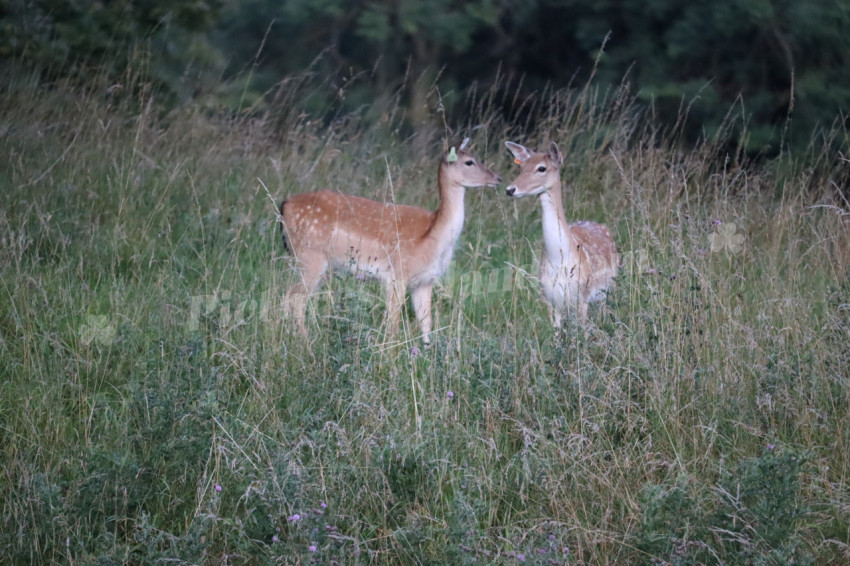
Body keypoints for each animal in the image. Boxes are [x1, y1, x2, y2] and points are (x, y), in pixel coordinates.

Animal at [282, 141, 500, 346]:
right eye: (469, 161)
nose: (498, 178)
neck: (434, 237)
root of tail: (284, 205)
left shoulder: (425, 281)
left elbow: (426, 322)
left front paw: (427, 353)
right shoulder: (397, 274)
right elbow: (393, 323)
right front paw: (390, 354)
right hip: (310, 256)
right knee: (294, 297)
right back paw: (304, 342)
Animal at [504, 142, 616, 328]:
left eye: (541, 168)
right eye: (522, 167)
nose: (510, 189)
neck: (559, 261)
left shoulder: (583, 295)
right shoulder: (550, 297)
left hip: (607, 287)